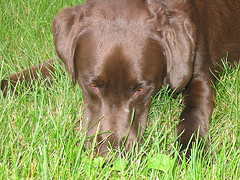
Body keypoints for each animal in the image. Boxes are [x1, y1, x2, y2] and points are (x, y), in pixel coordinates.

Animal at [0, 0, 239, 158]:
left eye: (141, 89)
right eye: (92, 85)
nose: (110, 152)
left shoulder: (198, 75)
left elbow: (194, 110)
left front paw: (191, 152)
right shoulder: (68, 62)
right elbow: (35, 72)